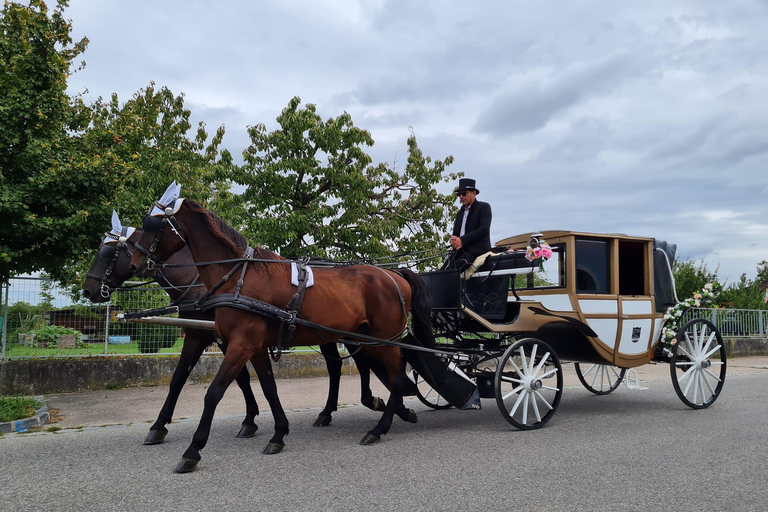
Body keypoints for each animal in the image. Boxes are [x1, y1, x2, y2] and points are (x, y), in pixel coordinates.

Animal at [131, 193, 432, 476]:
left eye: (151, 225)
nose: (135, 263)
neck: (238, 278)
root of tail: (395, 275)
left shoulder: (241, 345)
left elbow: (214, 393)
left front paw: (193, 450)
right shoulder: (254, 347)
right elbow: (268, 388)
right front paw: (278, 434)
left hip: (386, 340)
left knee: (395, 378)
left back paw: (379, 429)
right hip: (365, 338)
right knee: (383, 373)